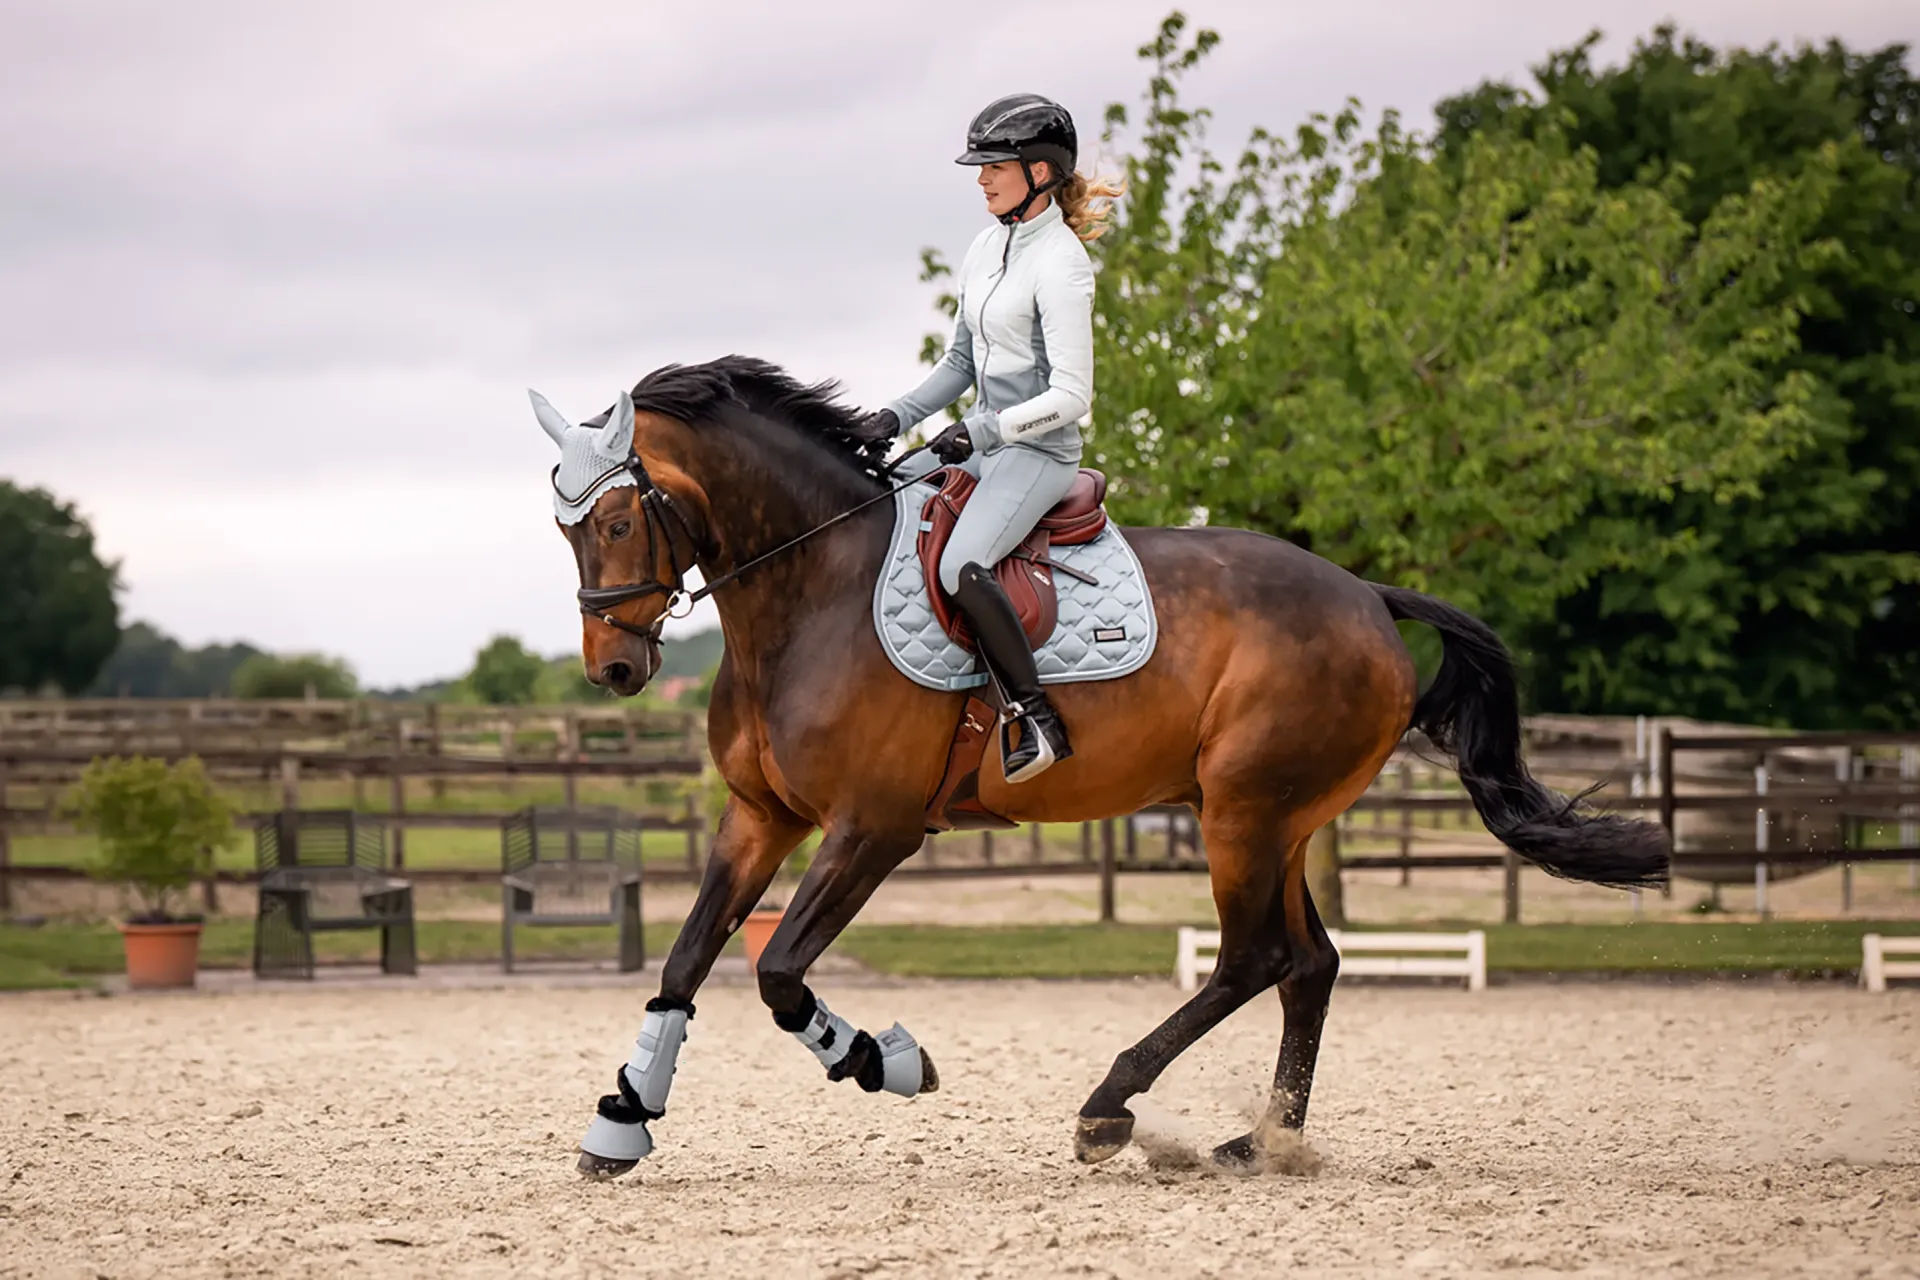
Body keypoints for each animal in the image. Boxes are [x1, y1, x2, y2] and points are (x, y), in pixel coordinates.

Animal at [533, 355, 1670, 1178]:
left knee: (1255, 958)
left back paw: (1109, 1108)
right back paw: (1264, 1141)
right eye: (564, 527)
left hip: (1244, 814)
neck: (811, 590)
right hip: (1276, 818)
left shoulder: (873, 827)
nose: (614, 668)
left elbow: (776, 973)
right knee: (1310, 963)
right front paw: (623, 1116)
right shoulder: (759, 817)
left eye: (618, 519)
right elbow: (684, 961)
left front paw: (886, 1060)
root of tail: (1366, 594)